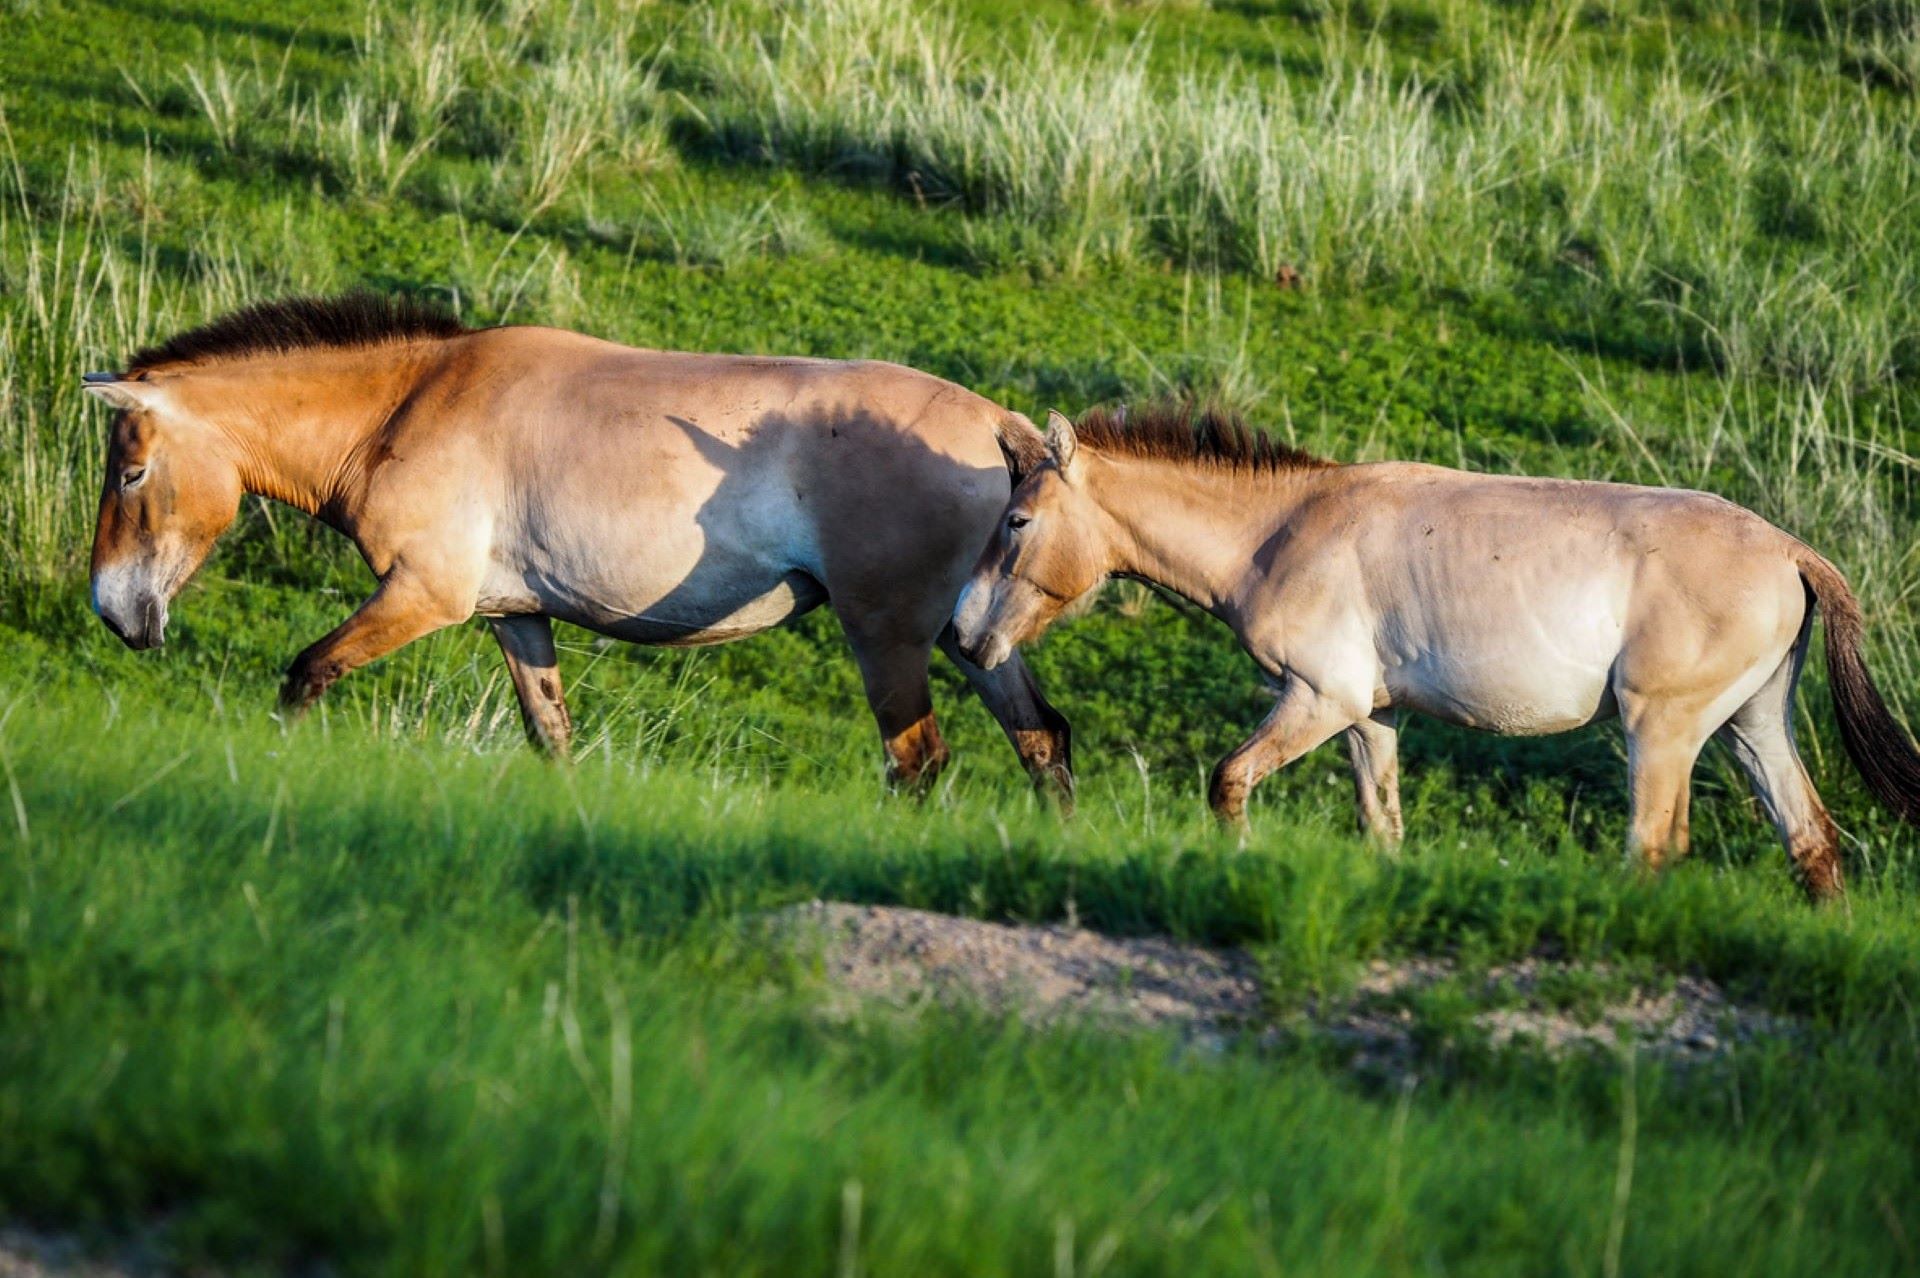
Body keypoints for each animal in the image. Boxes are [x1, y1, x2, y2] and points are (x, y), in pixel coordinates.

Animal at [86, 295, 1067, 798]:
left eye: (130, 474)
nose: (117, 612)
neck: (409, 405)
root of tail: (1004, 434)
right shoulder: (516, 617)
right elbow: (550, 734)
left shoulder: (421, 596)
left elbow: (306, 673)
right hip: (970, 638)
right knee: (1043, 741)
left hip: (887, 637)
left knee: (920, 762)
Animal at [952, 402, 1920, 890]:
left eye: (1017, 521)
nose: (963, 634)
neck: (1282, 532)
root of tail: (1792, 551)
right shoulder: (1369, 720)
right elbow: (1383, 826)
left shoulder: (1318, 700)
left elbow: (1228, 782)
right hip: (1751, 727)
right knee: (1811, 843)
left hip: (1663, 731)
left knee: (1654, 847)